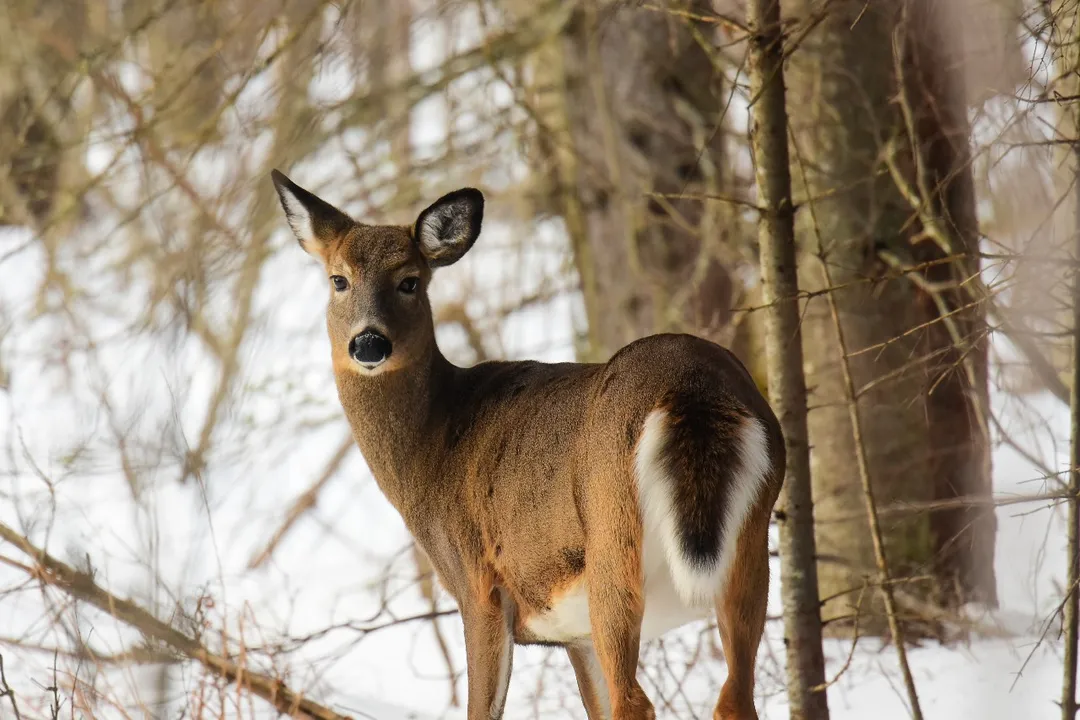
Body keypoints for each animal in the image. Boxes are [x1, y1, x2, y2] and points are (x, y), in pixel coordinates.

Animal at [270, 169, 785, 720]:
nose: (369, 343)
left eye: (410, 280)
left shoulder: (478, 583)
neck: (432, 446)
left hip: (612, 538)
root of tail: (691, 387)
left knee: (637, 701)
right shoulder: (574, 633)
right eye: (338, 279)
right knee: (734, 695)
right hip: (749, 546)